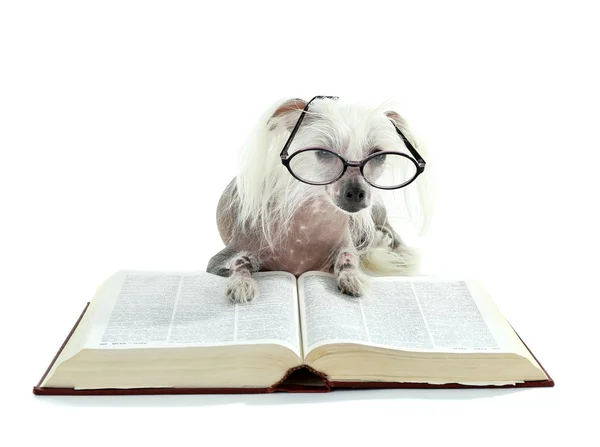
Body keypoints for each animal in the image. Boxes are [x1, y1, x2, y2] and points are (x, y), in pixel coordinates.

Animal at [207, 96, 432, 302]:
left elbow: (348, 257)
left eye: (379, 156)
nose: (356, 193)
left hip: (378, 210)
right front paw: (241, 282)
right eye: (323, 153)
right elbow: (240, 262)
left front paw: (353, 278)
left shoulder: (343, 248)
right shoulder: (218, 261)